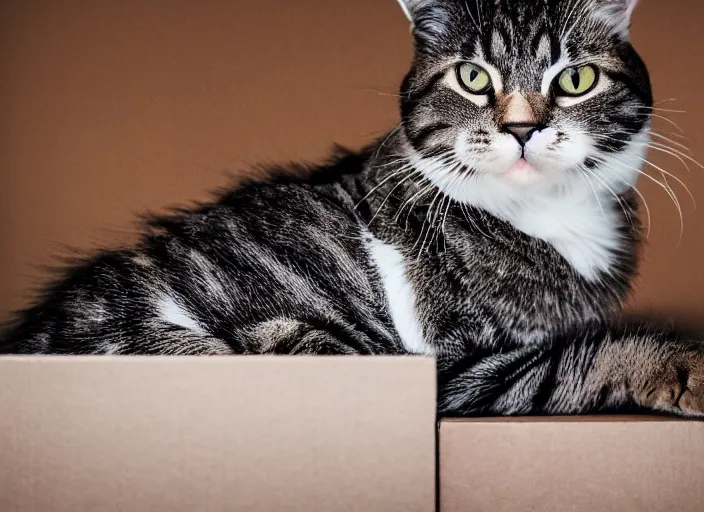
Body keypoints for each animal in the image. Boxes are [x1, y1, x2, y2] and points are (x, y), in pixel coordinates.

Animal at [1, 0, 704, 416]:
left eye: (576, 79)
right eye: (473, 78)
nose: (522, 127)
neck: (550, 219)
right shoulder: (459, 373)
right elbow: (583, 356)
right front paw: (688, 368)